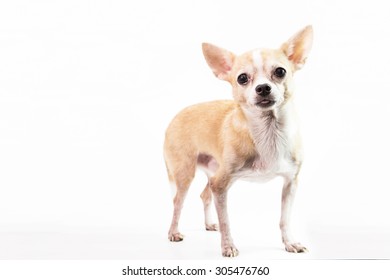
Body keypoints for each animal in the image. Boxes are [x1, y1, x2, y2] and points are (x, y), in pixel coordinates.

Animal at [163, 25, 312, 258]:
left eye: (280, 72)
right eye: (242, 78)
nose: (263, 88)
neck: (269, 133)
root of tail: (176, 115)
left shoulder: (290, 183)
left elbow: (284, 219)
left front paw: (290, 243)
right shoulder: (221, 185)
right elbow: (226, 221)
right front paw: (228, 247)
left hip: (214, 173)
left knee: (204, 195)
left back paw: (208, 224)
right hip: (185, 175)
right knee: (177, 202)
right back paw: (173, 232)